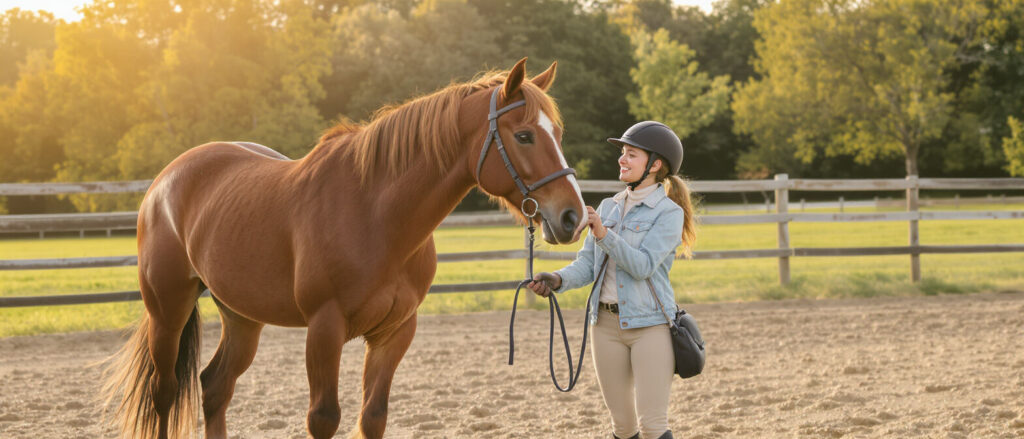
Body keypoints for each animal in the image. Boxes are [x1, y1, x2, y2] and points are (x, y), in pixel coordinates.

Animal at [102, 58, 587, 439]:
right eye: (523, 136)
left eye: (559, 133)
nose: (572, 217)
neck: (375, 216)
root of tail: (167, 180)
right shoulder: (324, 328)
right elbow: (324, 418)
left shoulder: (396, 332)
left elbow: (373, 417)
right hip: (168, 310)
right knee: (165, 393)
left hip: (241, 317)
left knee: (214, 388)